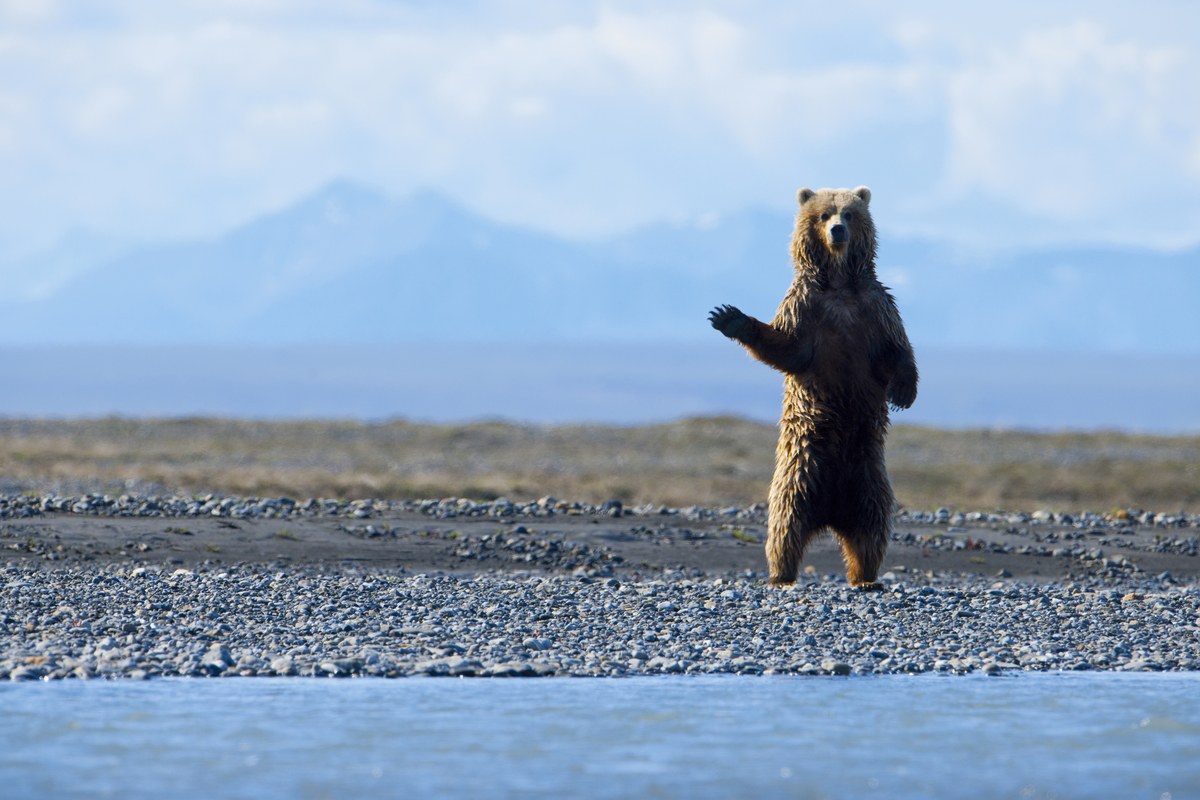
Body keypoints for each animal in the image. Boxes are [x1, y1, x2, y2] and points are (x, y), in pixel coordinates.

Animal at [705, 185, 912, 587]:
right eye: (823, 215)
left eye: (849, 214)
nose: (837, 230)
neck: (840, 284)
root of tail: (831, 513)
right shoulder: (806, 306)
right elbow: (789, 348)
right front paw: (729, 318)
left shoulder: (875, 309)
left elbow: (897, 350)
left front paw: (903, 393)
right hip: (801, 470)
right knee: (785, 527)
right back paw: (781, 574)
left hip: (868, 476)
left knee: (872, 527)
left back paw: (865, 575)